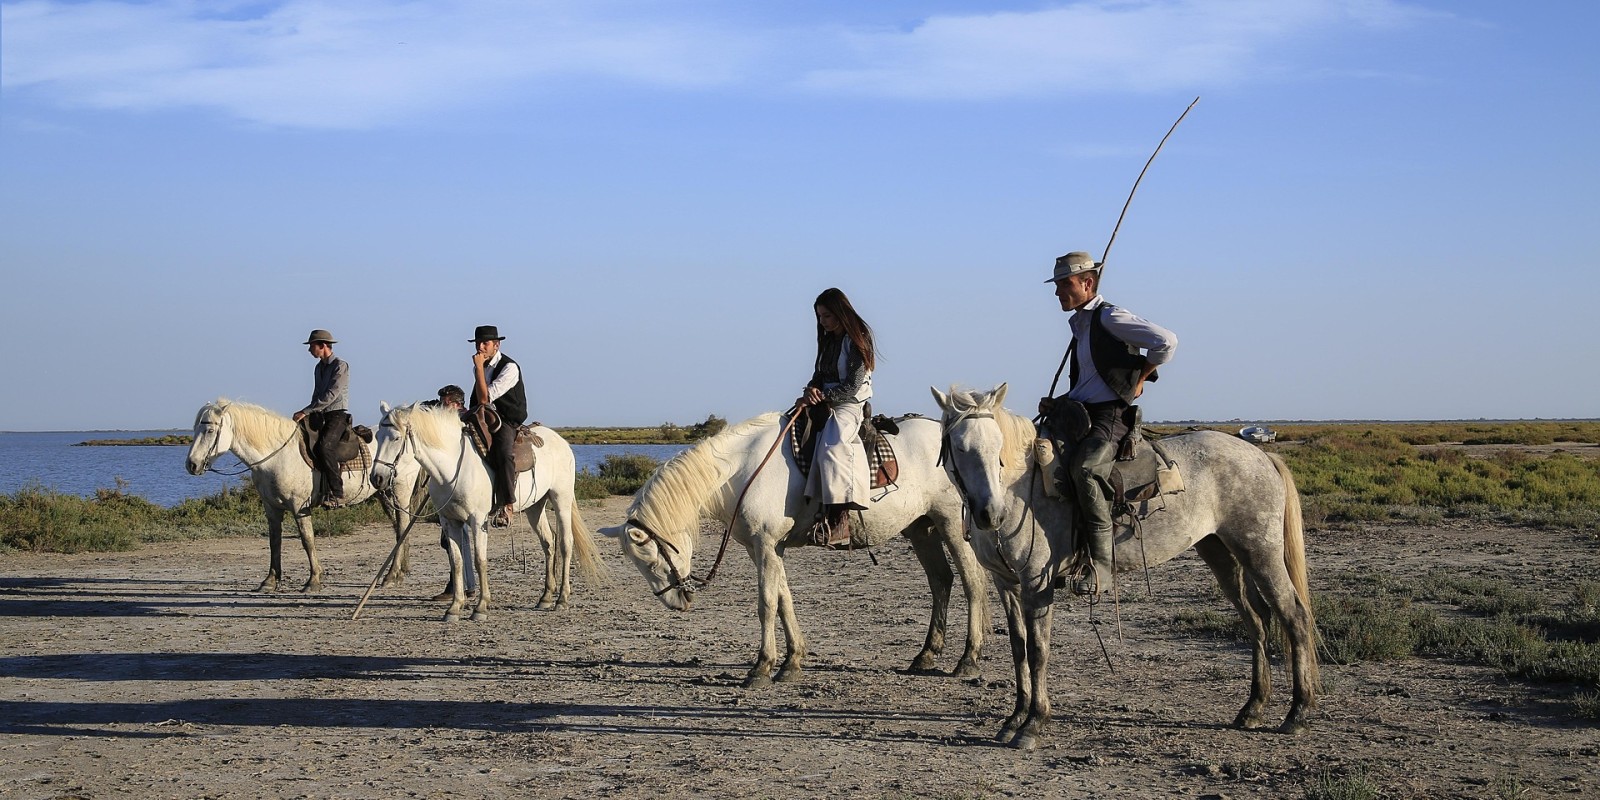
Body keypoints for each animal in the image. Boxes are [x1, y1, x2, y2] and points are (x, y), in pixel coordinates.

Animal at [184, 398, 420, 593]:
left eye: (209, 430)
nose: (191, 465)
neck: (277, 456)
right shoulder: (271, 508)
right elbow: (274, 542)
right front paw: (270, 581)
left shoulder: (299, 506)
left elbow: (308, 540)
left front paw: (313, 580)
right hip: (384, 493)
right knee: (399, 528)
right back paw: (399, 572)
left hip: (400, 491)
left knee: (402, 525)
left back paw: (391, 576)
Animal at [369, 402, 605, 621]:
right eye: (378, 437)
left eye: (396, 438)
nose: (376, 478)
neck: (453, 468)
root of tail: (561, 441)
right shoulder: (449, 521)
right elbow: (457, 562)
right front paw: (454, 608)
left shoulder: (477, 520)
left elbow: (479, 560)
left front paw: (481, 607)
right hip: (535, 506)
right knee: (548, 542)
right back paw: (546, 597)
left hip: (561, 499)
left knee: (565, 543)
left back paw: (562, 599)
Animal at [598, 411, 989, 688]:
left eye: (651, 559)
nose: (676, 602)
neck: (741, 470)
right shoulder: (768, 549)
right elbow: (784, 599)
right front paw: (792, 662)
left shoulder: (766, 545)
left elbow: (767, 604)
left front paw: (761, 667)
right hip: (921, 529)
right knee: (941, 581)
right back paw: (926, 655)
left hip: (950, 524)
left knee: (972, 582)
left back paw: (967, 659)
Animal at [932, 383, 1318, 749]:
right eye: (960, 447)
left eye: (998, 445)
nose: (990, 514)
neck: (1019, 491)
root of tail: (1262, 455)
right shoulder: (1007, 584)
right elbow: (1019, 648)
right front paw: (1013, 720)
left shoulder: (1036, 583)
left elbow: (1038, 651)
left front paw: (1033, 725)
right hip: (1221, 553)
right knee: (1257, 621)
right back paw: (1253, 708)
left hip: (1261, 552)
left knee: (1294, 617)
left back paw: (1298, 714)